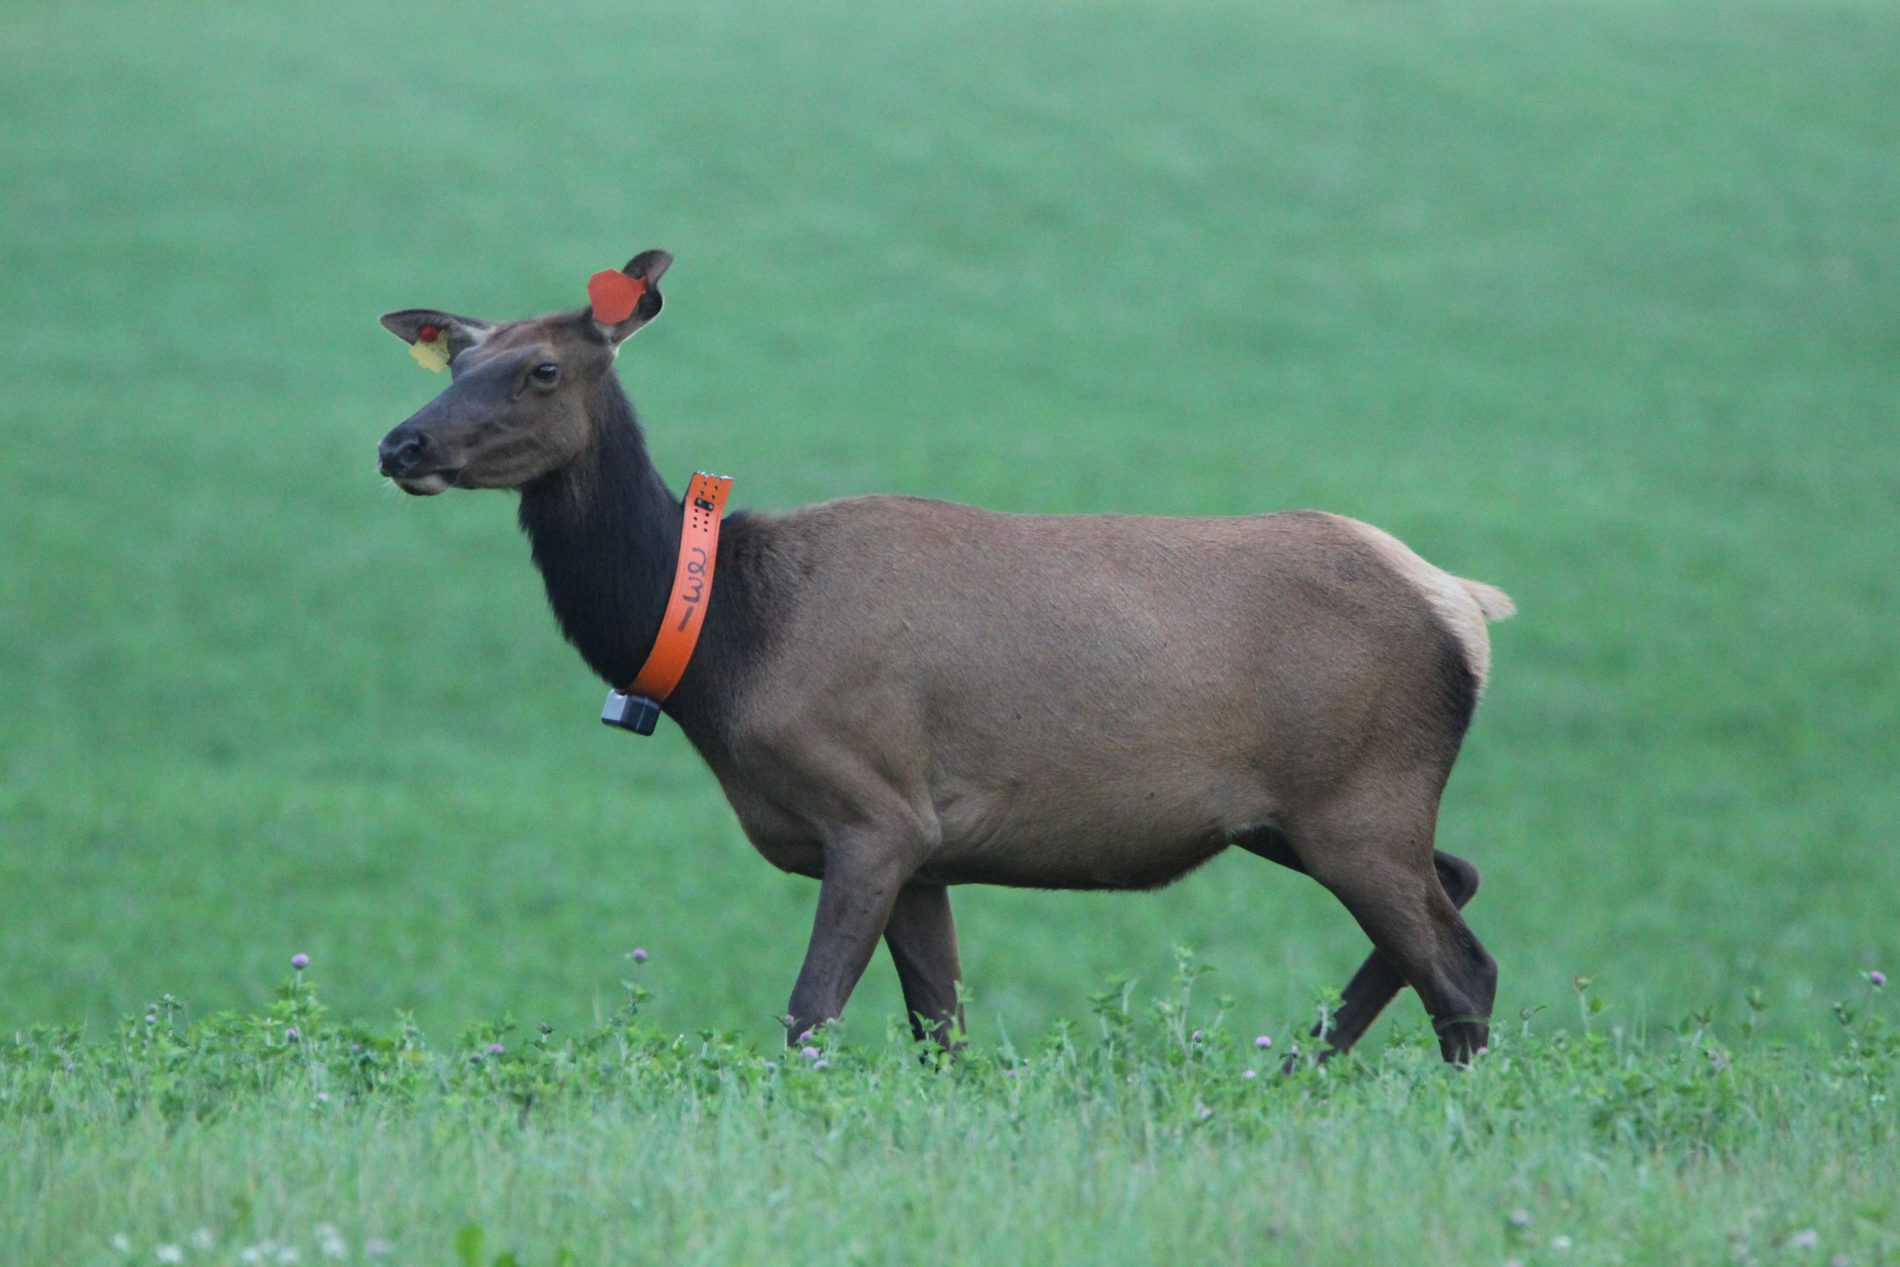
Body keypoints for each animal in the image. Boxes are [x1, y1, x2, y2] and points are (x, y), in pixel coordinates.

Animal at [375, 249, 1516, 1064]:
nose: (401, 444)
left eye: (541, 369)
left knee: (1464, 971)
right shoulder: (926, 851)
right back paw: (1294, 1066)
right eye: (458, 361)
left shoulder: (872, 808)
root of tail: (1465, 605)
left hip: (1357, 797)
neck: (720, 651)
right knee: (1458, 881)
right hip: (1300, 813)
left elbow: (810, 1016)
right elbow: (941, 1035)